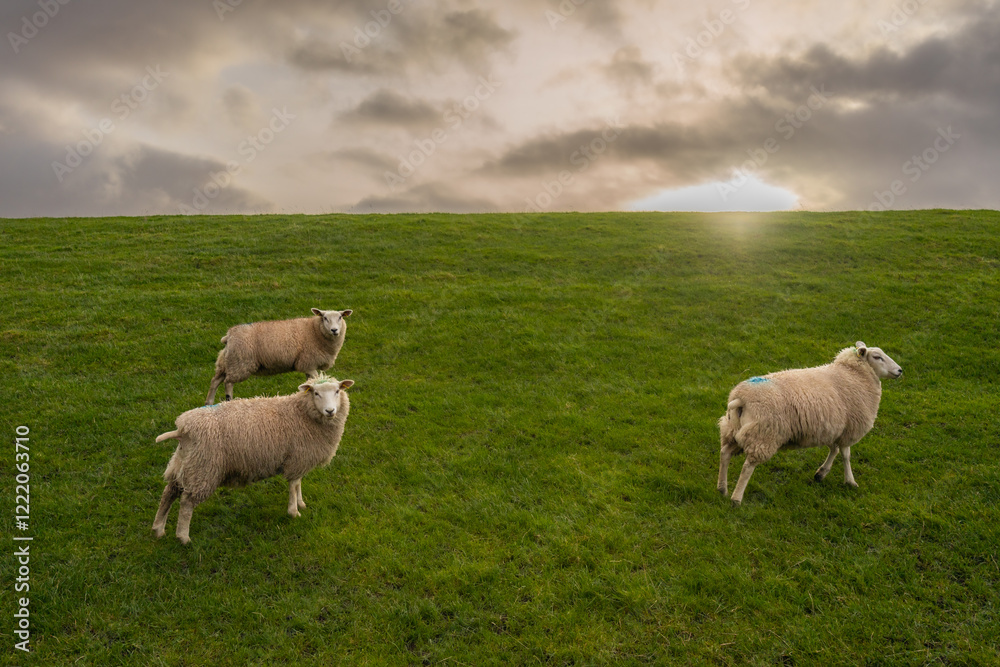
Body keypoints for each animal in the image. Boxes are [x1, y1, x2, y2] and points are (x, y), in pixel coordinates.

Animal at [152, 373, 354, 544]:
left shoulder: (299, 459)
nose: (330, 410)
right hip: (204, 467)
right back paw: (183, 537)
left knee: (169, 492)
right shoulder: (297, 458)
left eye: (337, 391)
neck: (301, 412)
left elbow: (298, 484)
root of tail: (183, 428)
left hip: (186, 462)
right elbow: (293, 485)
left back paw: (158, 529)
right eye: (316, 393)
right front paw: (293, 511)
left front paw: (301, 503)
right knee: (186, 502)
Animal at [206, 308, 352, 405]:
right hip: (240, 363)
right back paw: (228, 399)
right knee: (228, 382)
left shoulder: (307, 366)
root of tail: (229, 335)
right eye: (325, 318)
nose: (334, 330)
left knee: (215, 381)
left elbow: (308, 383)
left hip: (227, 362)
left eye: (340, 317)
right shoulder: (309, 364)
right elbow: (314, 383)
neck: (315, 331)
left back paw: (209, 403)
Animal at [717, 341, 902, 505]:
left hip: (733, 431)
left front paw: (821, 474)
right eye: (877, 357)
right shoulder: (849, 428)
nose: (900, 370)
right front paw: (850, 481)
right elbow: (845, 455)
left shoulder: (833, 427)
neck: (854, 373)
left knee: (725, 453)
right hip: (763, 435)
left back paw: (722, 490)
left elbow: (834, 449)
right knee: (747, 467)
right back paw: (736, 499)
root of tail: (740, 398)